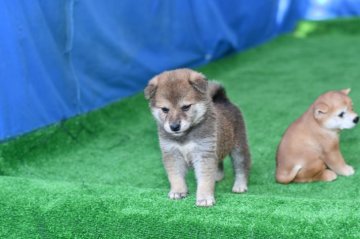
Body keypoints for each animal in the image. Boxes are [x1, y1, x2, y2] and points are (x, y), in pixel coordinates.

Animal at [143, 68, 250, 206]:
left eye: (186, 107)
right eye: (165, 109)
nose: (174, 126)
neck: (184, 137)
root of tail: (223, 100)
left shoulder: (203, 153)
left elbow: (204, 180)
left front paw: (204, 198)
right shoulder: (172, 154)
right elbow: (175, 176)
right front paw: (178, 191)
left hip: (239, 146)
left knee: (241, 167)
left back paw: (240, 185)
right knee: (219, 162)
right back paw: (217, 176)